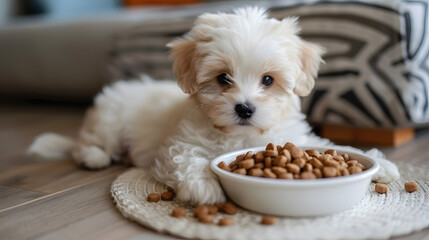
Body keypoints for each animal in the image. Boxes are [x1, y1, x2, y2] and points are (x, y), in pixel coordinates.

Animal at [29, 7, 398, 204]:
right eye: (223, 78)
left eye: (268, 80)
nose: (244, 109)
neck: (243, 134)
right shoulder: (179, 144)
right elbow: (188, 161)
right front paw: (206, 187)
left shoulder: (294, 136)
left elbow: (326, 144)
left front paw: (381, 163)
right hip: (109, 120)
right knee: (86, 144)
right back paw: (94, 156)